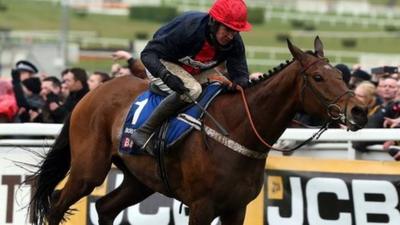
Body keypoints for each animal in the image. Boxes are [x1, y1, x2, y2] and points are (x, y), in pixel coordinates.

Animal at [28, 37, 368, 225]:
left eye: (340, 74)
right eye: (318, 77)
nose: (359, 111)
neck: (237, 131)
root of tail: (91, 94)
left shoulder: (236, 209)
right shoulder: (202, 208)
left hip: (140, 180)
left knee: (105, 207)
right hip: (89, 170)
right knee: (57, 206)